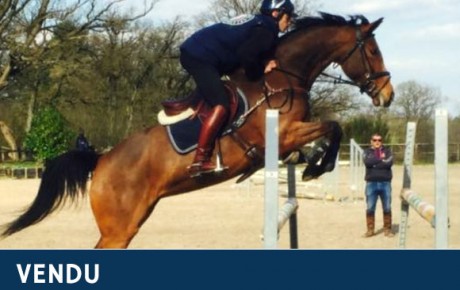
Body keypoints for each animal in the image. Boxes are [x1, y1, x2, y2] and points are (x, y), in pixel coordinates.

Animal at [0, 13, 396, 249]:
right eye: (374, 50)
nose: (388, 95)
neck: (283, 75)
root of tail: (100, 160)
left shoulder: (288, 140)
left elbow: (326, 132)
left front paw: (312, 163)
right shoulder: (283, 134)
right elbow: (334, 126)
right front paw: (317, 167)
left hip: (133, 220)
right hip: (118, 228)